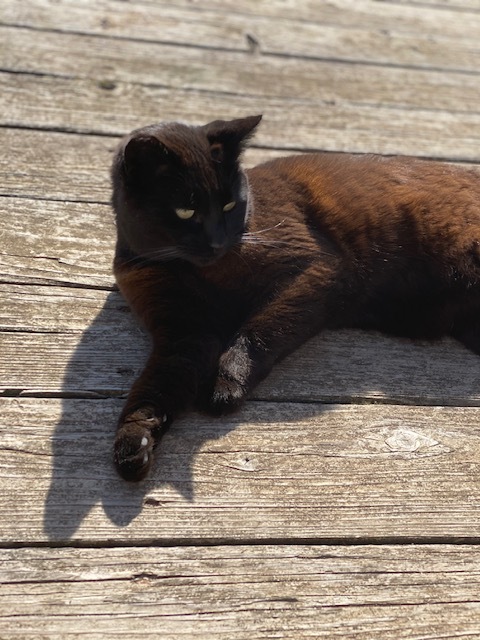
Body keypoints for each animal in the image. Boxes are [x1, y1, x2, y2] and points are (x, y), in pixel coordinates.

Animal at [110, 115, 480, 480]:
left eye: (229, 205)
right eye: (186, 211)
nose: (217, 241)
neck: (203, 272)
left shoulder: (315, 268)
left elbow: (256, 333)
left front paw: (225, 384)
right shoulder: (184, 333)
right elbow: (155, 387)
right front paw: (134, 440)